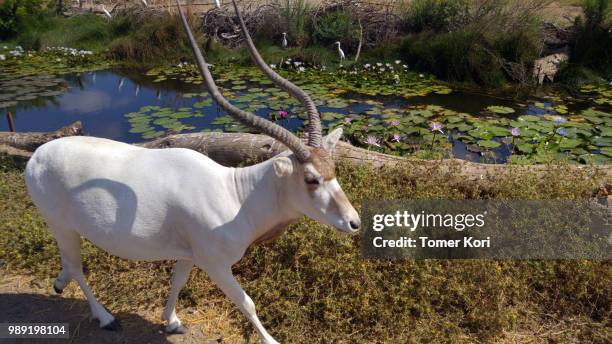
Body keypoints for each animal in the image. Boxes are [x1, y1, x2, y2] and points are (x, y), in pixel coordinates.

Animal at [22, 1, 358, 342]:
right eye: (310, 179)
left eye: (333, 170)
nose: (354, 222)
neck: (237, 196)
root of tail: (37, 156)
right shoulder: (215, 263)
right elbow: (246, 302)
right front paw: (270, 339)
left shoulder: (188, 254)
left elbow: (177, 281)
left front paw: (171, 321)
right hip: (62, 225)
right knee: (77, 266)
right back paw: (104, 317)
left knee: (69, 264)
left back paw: (59, 283)